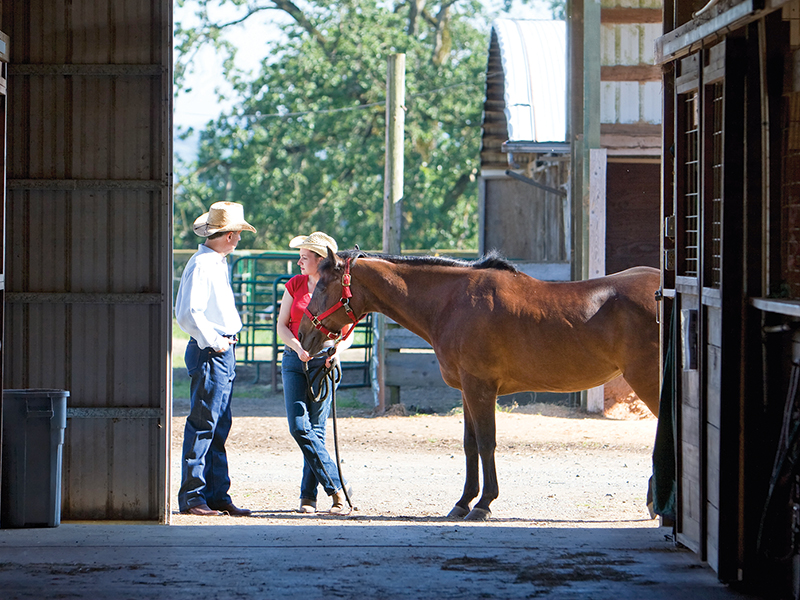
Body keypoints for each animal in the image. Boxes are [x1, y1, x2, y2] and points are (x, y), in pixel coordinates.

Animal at [296, 248, 660, 520]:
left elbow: (486, 443)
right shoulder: (466, 390)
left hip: (647, 380)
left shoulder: (480, 388)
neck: (452, 303)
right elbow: (470, 445)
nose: (303, 335)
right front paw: (462, 502)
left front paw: (483, 504)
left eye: (323, 285)